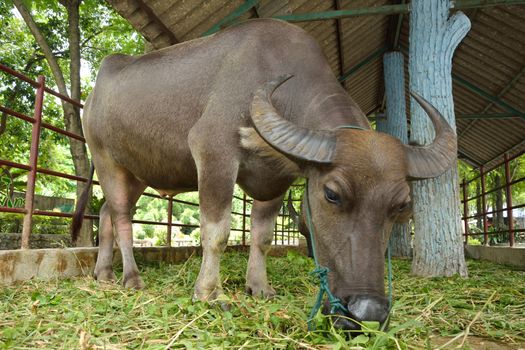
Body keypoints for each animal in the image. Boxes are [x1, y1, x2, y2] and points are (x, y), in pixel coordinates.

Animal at [71, 18, 456, 330]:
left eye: (403, 205)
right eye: (332, 194)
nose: (368, 312)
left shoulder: (277, 181)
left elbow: (263, 237)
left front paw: (259, 287)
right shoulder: (213, 152)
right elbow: (217, 232)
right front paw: (209, 293)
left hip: (138, 173)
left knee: (105, 213)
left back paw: (103, 274)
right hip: (106, 159)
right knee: (121, 217)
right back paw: (131, 277)